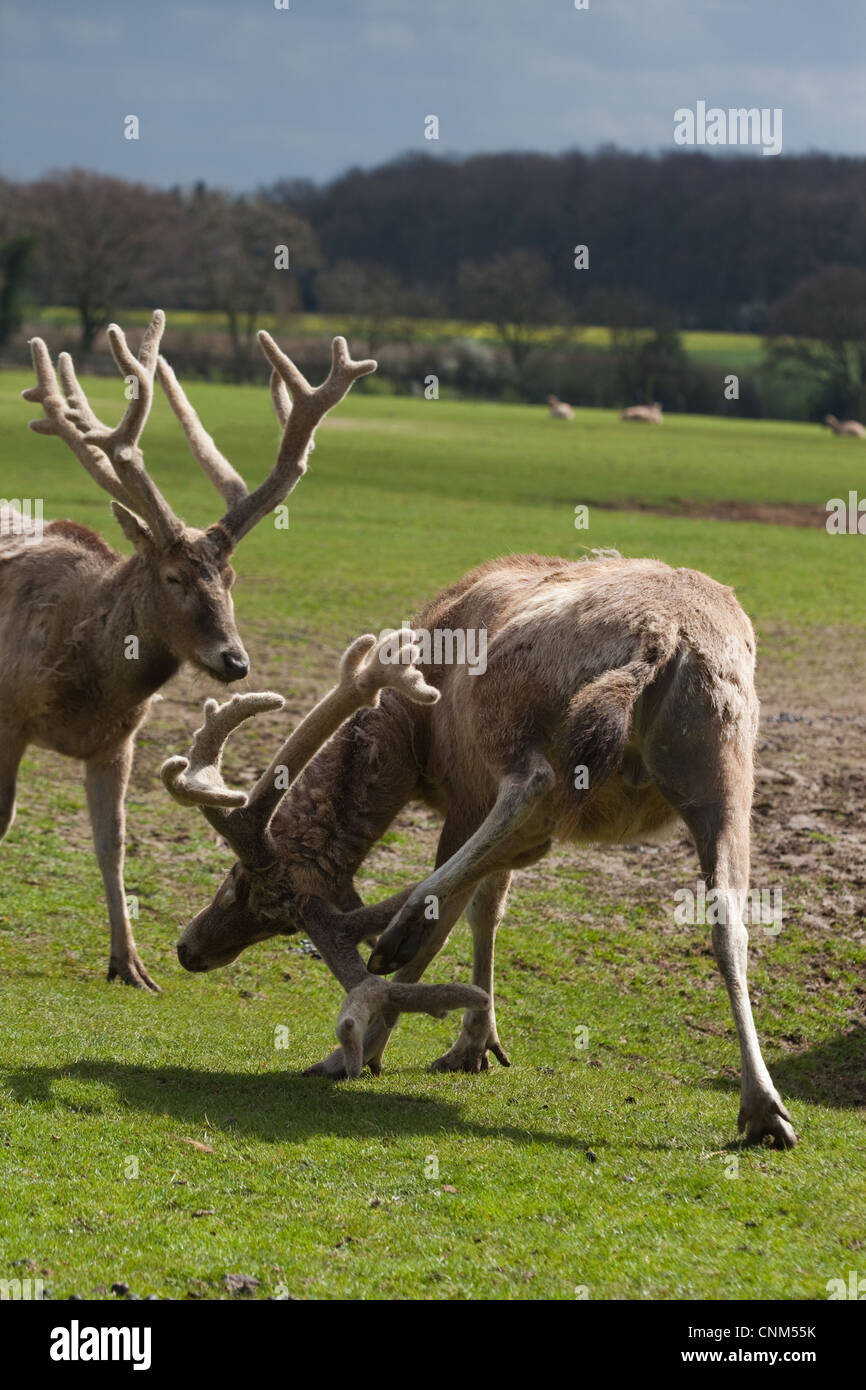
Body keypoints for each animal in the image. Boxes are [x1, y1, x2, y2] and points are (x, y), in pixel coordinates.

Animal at [3, 309, 375, 995]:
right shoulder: (8, 716)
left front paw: (130, 966)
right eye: (174, 576)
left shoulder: (118, 741)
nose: (235, 661)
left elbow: (113, 844)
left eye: (229, 578)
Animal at [157, 553, 800, 1150]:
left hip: (511, 717)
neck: (408, 739)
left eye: (238, 881)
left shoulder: (464, 790)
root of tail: (663, 641)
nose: (189, 949)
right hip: (724, 768)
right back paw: (765, 1110)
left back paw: (398, 934)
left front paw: (369, 1047)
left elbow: (464, 910)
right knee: (728, 919)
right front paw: (477, 1040)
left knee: (531, 787)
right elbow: (489, 906)